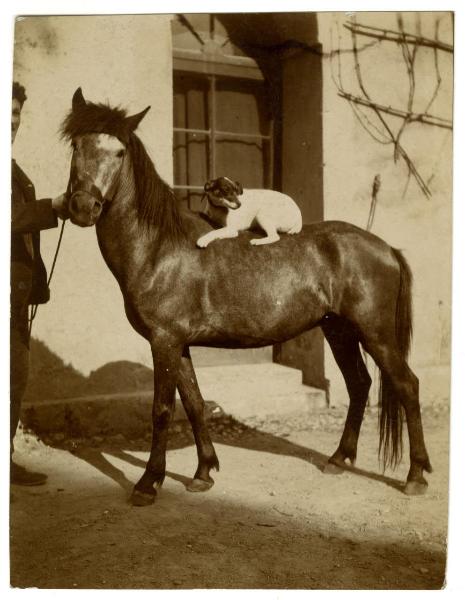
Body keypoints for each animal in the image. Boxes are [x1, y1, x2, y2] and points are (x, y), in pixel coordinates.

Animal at [61, 86, 432, 504]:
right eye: (76, 145)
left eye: (119, 152)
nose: (83, 207)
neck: (158, 247)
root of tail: (387, 248)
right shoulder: (178, 344)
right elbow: (194, 404)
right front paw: (204, 472)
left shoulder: (164, 341)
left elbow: (162, 410)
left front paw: (148, 483)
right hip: (339, 331)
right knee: (359, 385)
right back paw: (339, 459)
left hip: (376, 334)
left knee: (407, 386)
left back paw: (415, 476)